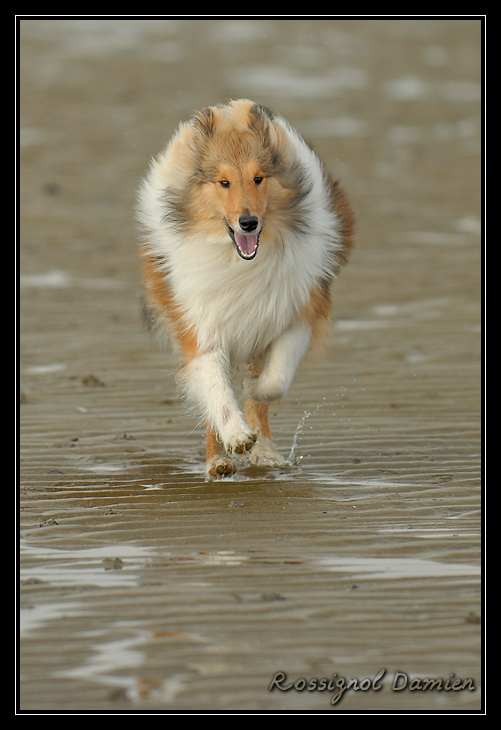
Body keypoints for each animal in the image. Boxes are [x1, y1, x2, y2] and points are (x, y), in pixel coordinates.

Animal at [138, 101, 352, 478]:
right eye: (223, 182)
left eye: (258, 178)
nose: (248, 222)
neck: (240, 263)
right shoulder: (202, 327)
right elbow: (215, 389)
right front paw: (235, 436)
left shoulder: (294, 315)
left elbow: (272, 382)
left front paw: (254, 399)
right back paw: (219, 462)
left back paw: (265, 452)